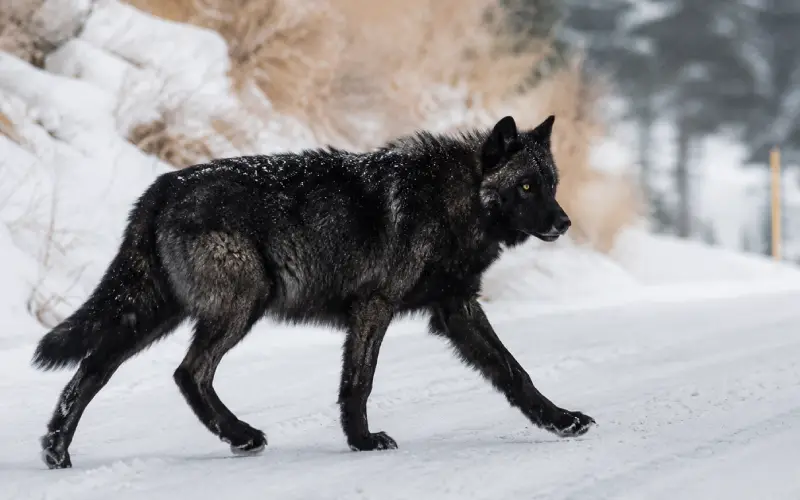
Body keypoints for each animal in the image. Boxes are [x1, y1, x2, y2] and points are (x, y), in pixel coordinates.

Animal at [32, 114, 595, 469]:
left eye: (551, 183)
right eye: (526, 186)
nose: (565, 222)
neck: (451, 200)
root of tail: (163, 186)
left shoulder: (456, 309)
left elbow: (514, 371)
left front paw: (561, 421)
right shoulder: (375, 307)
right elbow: (359, 383)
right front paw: (363, 441)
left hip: (151, 315)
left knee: (92, 370)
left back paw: (57, 452)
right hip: (241, 305)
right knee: (188, 372)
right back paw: (241, 436)